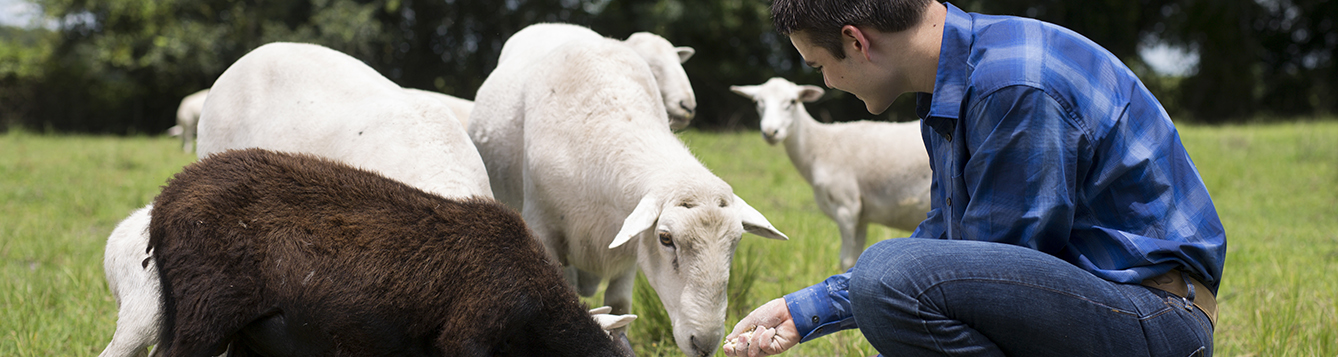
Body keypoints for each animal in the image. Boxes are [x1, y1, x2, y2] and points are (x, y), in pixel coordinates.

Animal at [473, 37, 786, 357]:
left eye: (736, 241)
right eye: (665, 239)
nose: (704, 343)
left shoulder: (628, 246)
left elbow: (619, 306)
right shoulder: (544, 233)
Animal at [733, 77, 931, 268]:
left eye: (792, 101)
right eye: (757, 102)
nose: (770, 132)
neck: (818, 146)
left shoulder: (846, 206)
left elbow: (847, 261)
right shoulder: (862, 216)